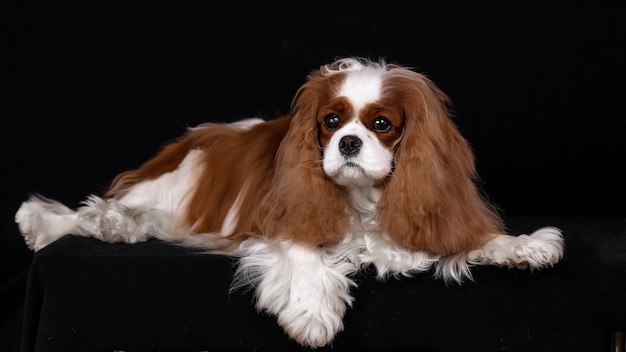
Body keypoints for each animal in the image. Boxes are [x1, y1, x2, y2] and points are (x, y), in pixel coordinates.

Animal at [14, 57, 564, 350]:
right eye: (330, 122)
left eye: (381, 124)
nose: (347, 142)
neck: (364, 202)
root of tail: (206, 133)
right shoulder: (279, 220)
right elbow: (303, 252)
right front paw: (313, 312)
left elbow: (473, 239)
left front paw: (521, 246)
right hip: (180, 180)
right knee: (92, 210)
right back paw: (52, 224)